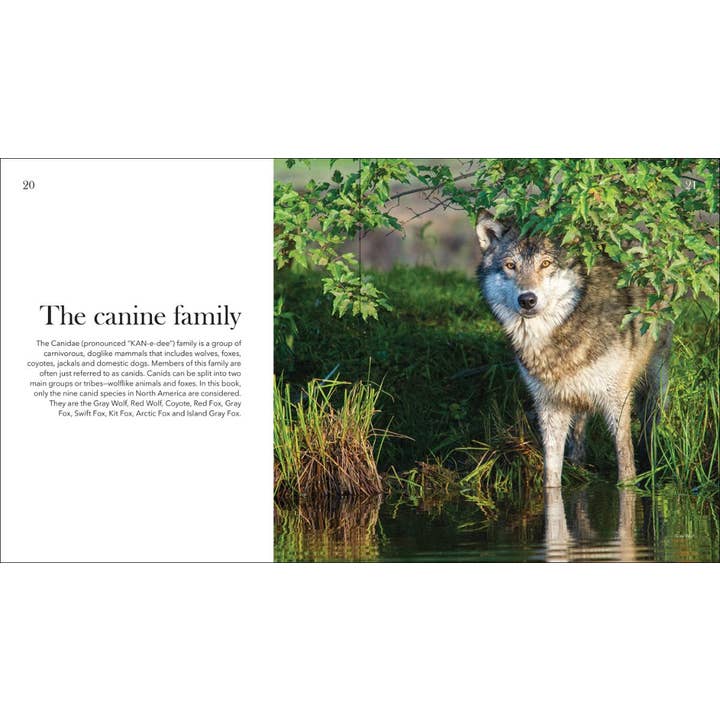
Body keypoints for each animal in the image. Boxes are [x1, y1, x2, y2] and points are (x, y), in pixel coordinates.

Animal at [475, 211, 672, 487]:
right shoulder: (549, 406)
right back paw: (577, 462)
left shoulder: (617, 401)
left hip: (656, 379)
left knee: (652, 421)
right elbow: (551, 472)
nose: (527, 299)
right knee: (579, 427)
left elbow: (625, 463)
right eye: (510, 266)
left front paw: (631, 486)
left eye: (546, 263)